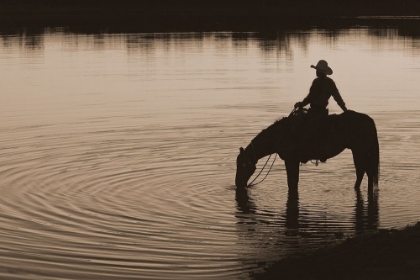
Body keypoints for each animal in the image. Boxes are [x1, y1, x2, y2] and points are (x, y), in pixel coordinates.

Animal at [235, 109, 378, 190]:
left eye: (242, 165)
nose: (237, 184)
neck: (280, 134)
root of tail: (369, 120)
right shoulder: (293, 161)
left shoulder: (291, 160)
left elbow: (292, 183)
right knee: (367, 172)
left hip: (359, 151)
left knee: (363, 172)